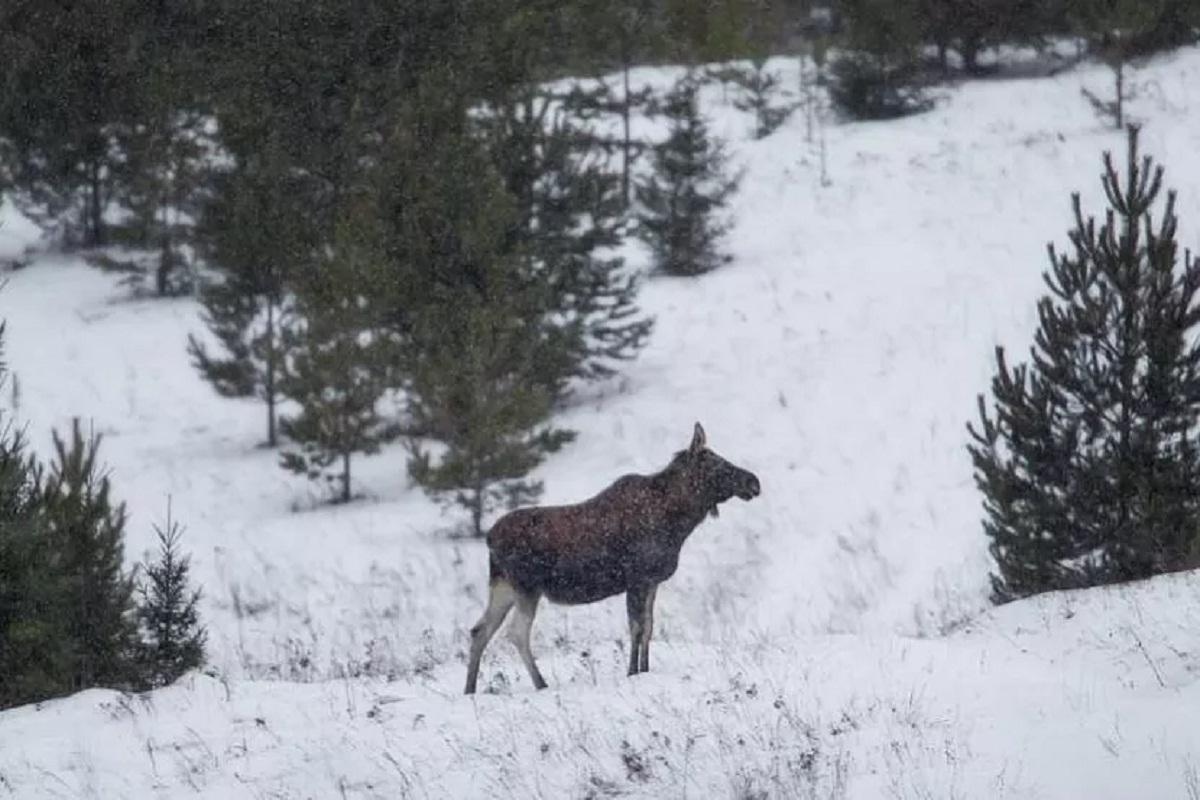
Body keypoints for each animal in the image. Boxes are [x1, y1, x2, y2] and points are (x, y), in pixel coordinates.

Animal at [460, 424, 758, 695]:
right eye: (716, 464)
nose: (754, 482)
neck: (678, 522)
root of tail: (489, 539)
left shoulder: (652, 581)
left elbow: (649, 627)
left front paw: (644, 669)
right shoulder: (637, 579)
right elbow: (636, 628)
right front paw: (632, 672)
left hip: (503, 587)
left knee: (480, 630)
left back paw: (469, 689)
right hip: (527, 588)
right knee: (516, 633)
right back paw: (540, 684)